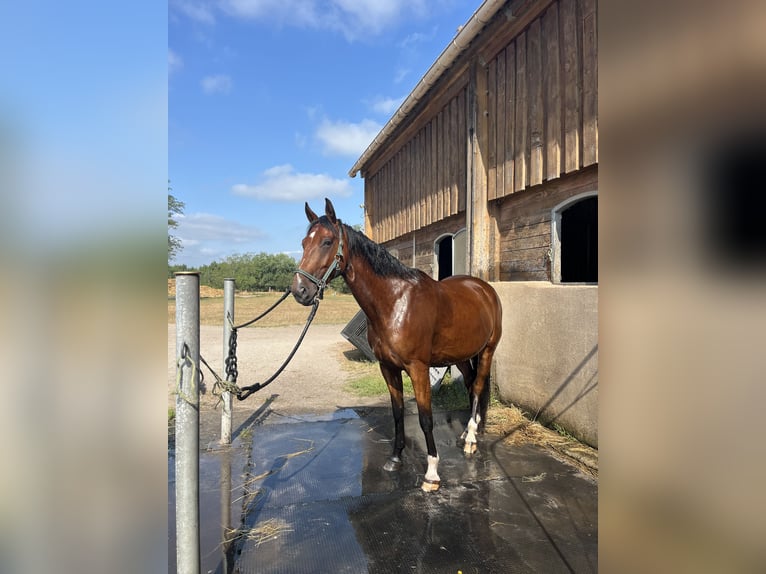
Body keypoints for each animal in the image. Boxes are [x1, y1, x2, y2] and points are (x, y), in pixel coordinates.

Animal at [291, 198, 502, 492]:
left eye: (327, 241)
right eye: (303, 242)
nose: (299, 290)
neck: (396, 303)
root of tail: (484, 288)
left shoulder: (418, 368)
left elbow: (426, 418)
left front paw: (432, 474)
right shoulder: (388, 368)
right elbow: (398, 412)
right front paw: (395, 459)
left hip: (487, 350)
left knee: (479, 386)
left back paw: (471, 438)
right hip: (461, 355)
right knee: (472, 385)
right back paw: (468, 432)